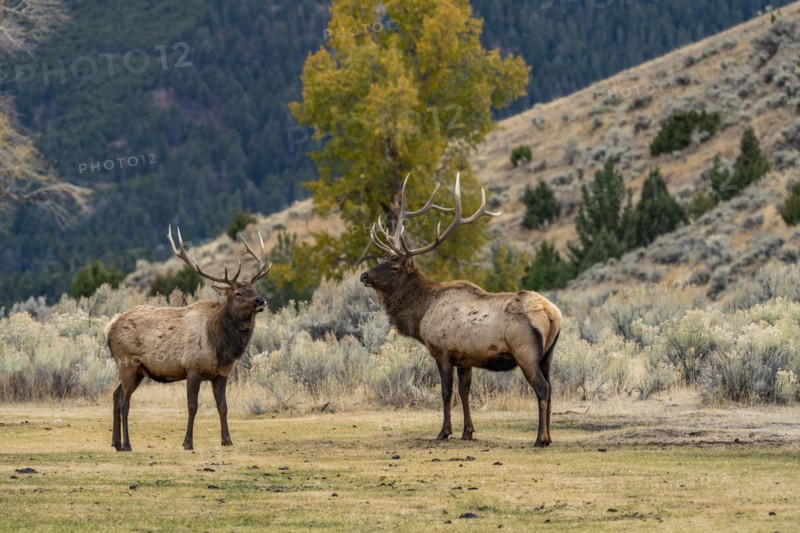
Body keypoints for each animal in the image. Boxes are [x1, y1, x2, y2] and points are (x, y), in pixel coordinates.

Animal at [104, 226, 271, 451]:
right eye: (238, 293)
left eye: (254, 289)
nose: (261, 300)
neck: (221, 348)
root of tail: (108, 328)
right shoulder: (193, 368)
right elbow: (193, 406)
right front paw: (188, 443)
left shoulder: (222, 373)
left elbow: (223, 406)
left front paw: (227, 440)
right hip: (128, 363)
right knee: (124, 402)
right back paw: (128, 445)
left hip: (139, 370)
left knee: (115, 395)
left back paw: (116, 443)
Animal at [360, 174, 562, 447]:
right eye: (381, 261)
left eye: (394, 267)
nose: (364, 275)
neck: (421, 314)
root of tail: (552, 314)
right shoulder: (465, 358)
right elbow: (465, 392)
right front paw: (468, 432)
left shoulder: (442, 351)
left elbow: (446, 392)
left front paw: (444, 431)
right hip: (548, 354)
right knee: (551, 388)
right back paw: (549, 437)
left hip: (526, 352)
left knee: (542, 388)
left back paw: (540, 438)